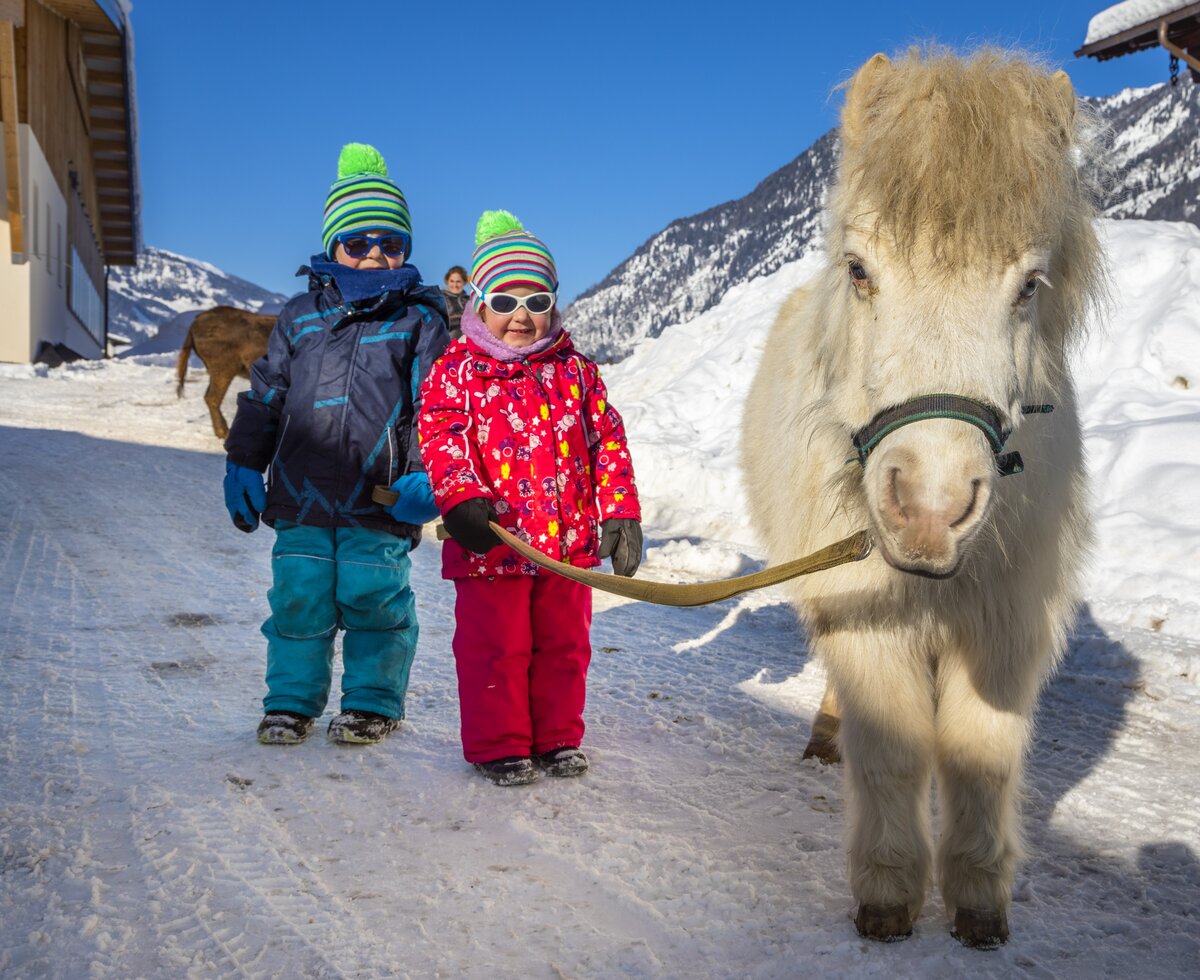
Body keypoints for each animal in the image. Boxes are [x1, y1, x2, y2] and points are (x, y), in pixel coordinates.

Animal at [175, 305, 274, 436]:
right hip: (224, 370)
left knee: (209, 396)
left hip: (216, 371)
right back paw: (224, 432)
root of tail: (194, 324)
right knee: (212, 398)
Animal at [739, 49, 1104, 945]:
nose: (931, 509)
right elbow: (896, 751)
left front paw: (978, 898)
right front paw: (888, 890)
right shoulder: (868, 618)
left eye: (1029, 285)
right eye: (860, 269)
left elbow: (982, 753)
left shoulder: (1007, 624)